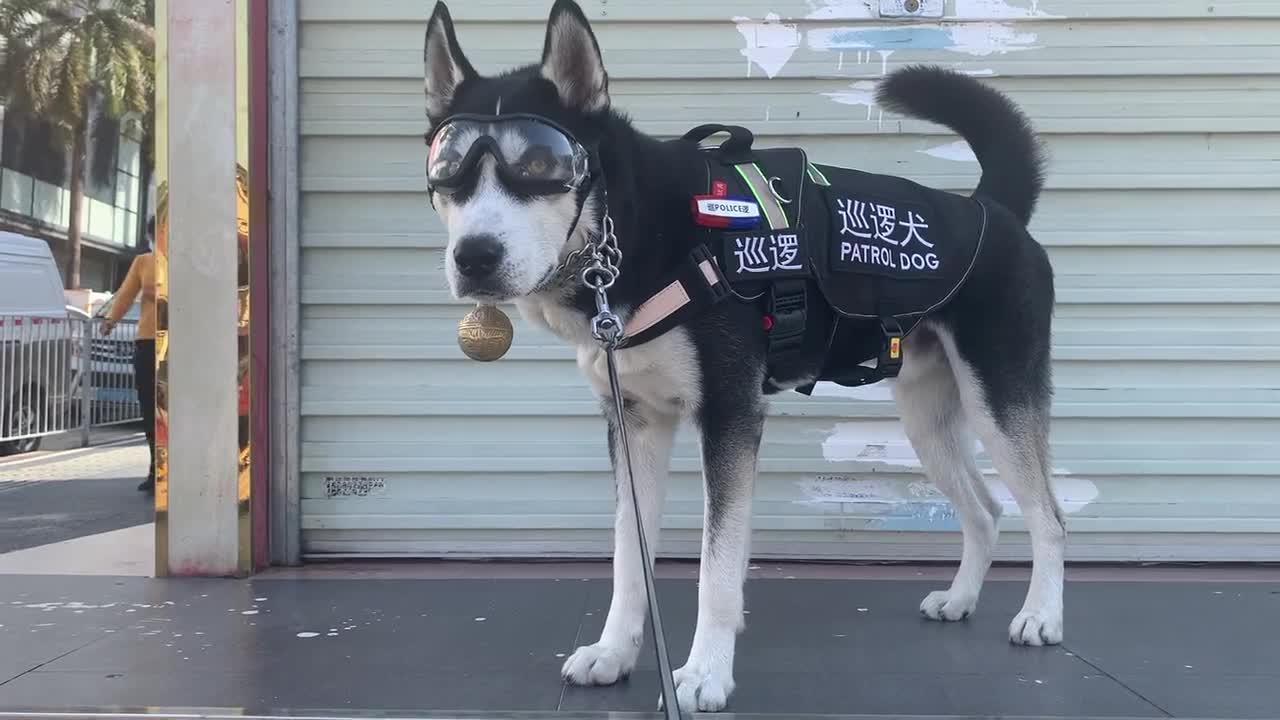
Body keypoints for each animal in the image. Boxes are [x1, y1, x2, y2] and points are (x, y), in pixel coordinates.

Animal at [419, 0, 1059, 707]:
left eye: (539, 166)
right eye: (447, 171)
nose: (474, 258)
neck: (635, 233)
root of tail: (992, 208)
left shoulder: (729, 414)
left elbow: (716, 567)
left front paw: (704, 673)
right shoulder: (634, 421)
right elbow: (627, 554)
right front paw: (614, 652)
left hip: (997, 401)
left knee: (1048, 516)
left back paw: (1041, 615)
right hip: (927, 417)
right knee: (987, 509)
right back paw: (961, 598)